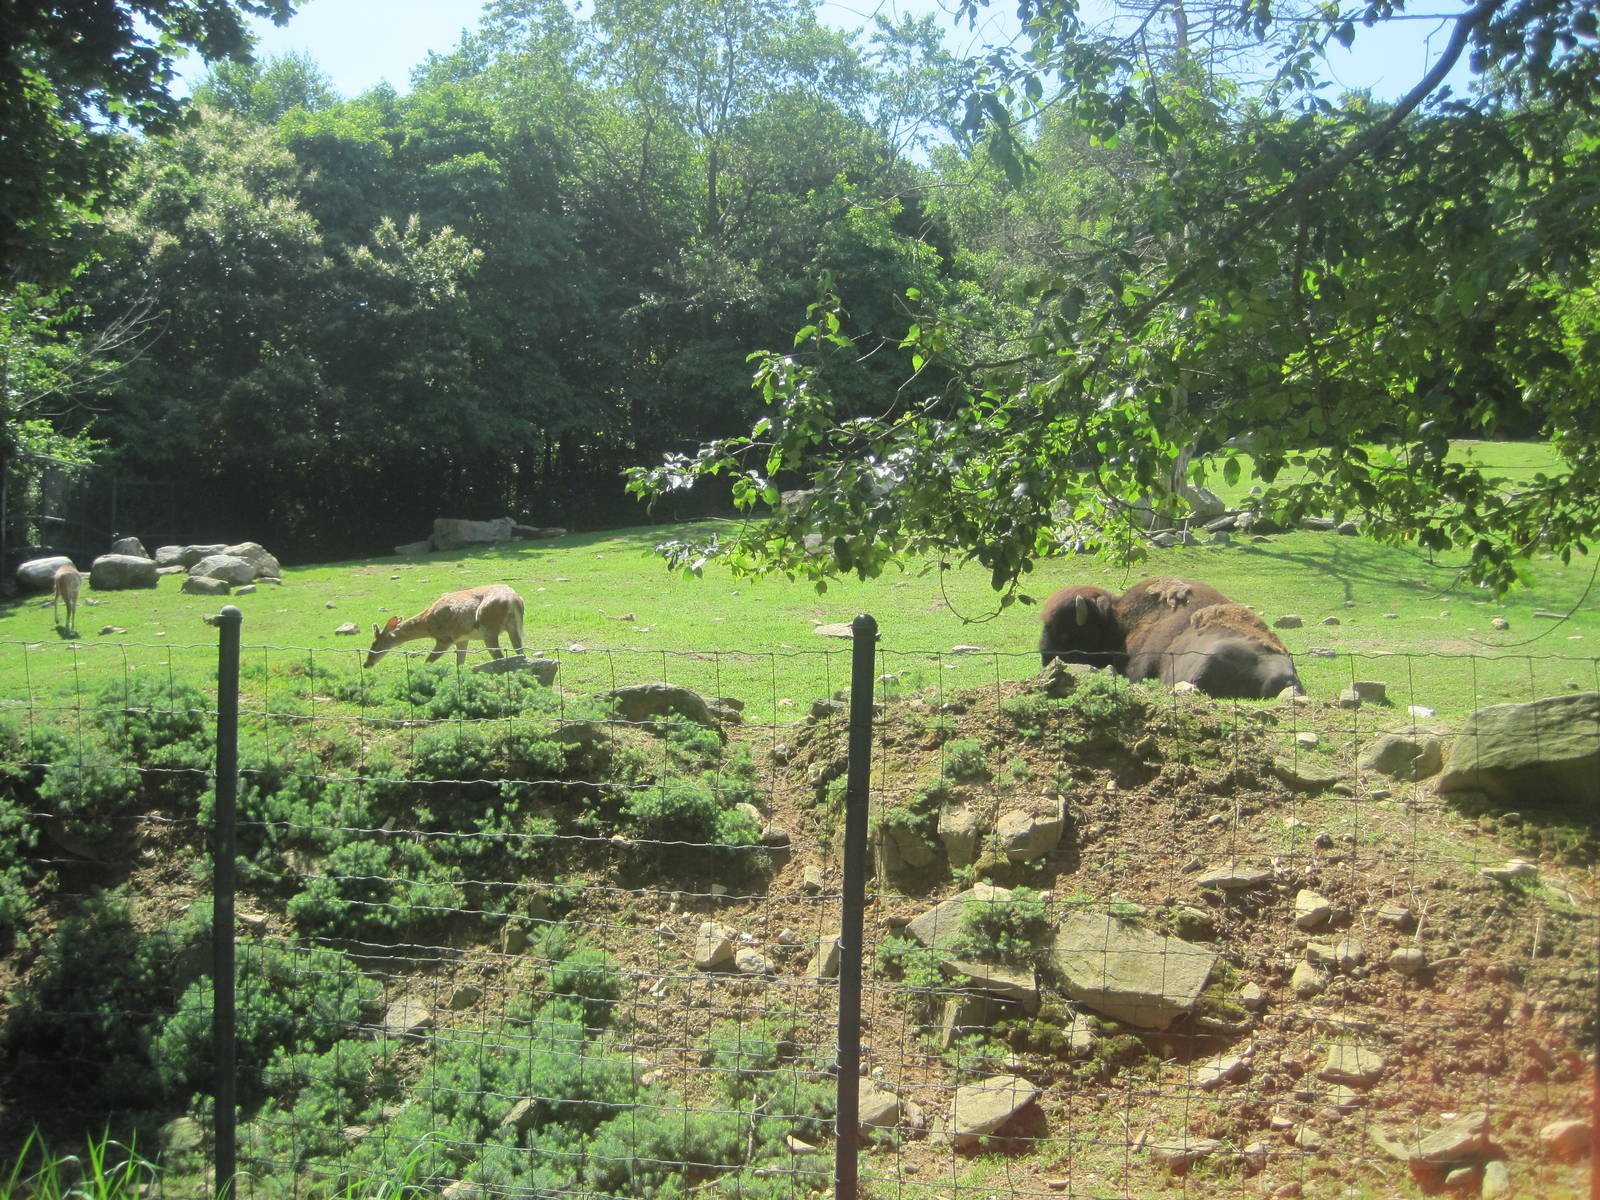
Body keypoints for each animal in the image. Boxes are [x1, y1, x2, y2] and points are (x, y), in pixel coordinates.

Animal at [364, 584, 526, 668]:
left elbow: (428, 661)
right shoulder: (462, 639)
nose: (366, 664)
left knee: (500, 657)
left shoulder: (445, 638)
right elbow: (460, 663)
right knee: (521, 653)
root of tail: (513, 600)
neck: (427, 624)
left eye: (375, 643)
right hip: (514, 627)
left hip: (489, 628)